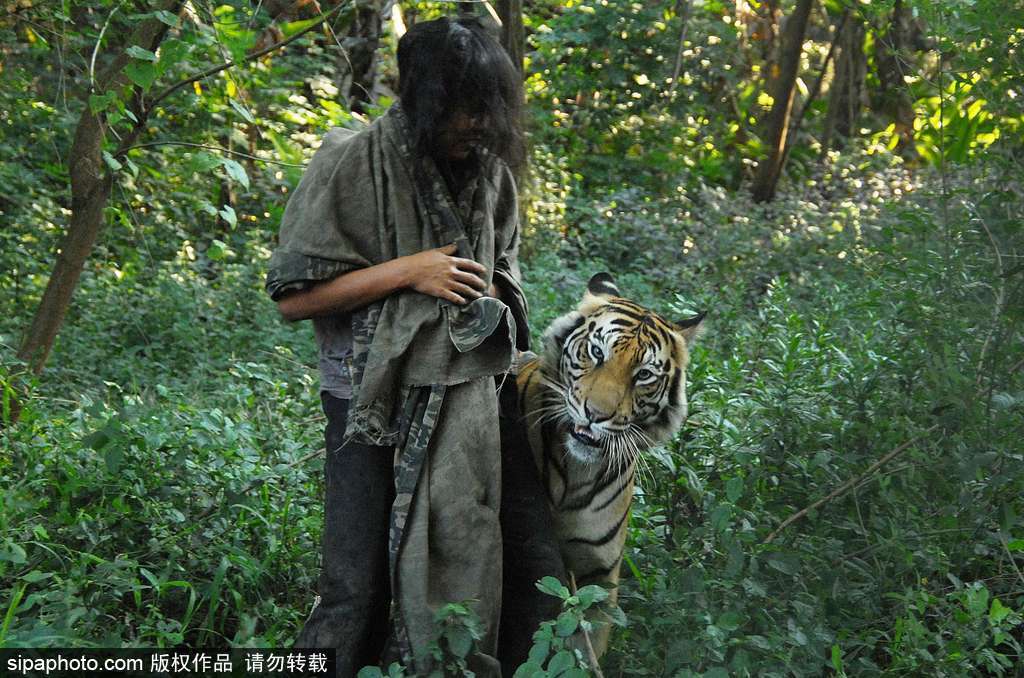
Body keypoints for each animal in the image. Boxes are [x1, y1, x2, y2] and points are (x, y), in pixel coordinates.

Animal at [501, 271, 704, 665]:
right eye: (596, 352)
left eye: (644, 375)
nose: (595, 414)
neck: (578, 473)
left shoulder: (599, 573)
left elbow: (585, 648)